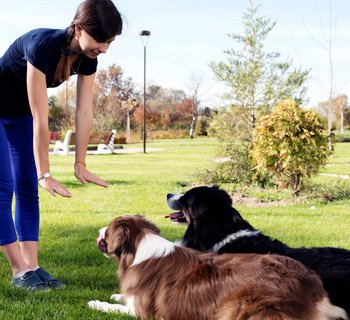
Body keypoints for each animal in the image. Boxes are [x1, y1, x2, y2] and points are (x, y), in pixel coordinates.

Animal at [88, 215, 348, 320]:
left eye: (107, 230)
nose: (97, 230)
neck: (139, 248)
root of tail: (312, 286)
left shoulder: (141, 312)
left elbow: (113, 308)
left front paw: (96, 303)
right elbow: (121, 298)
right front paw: (116, 295)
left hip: (243, 306)